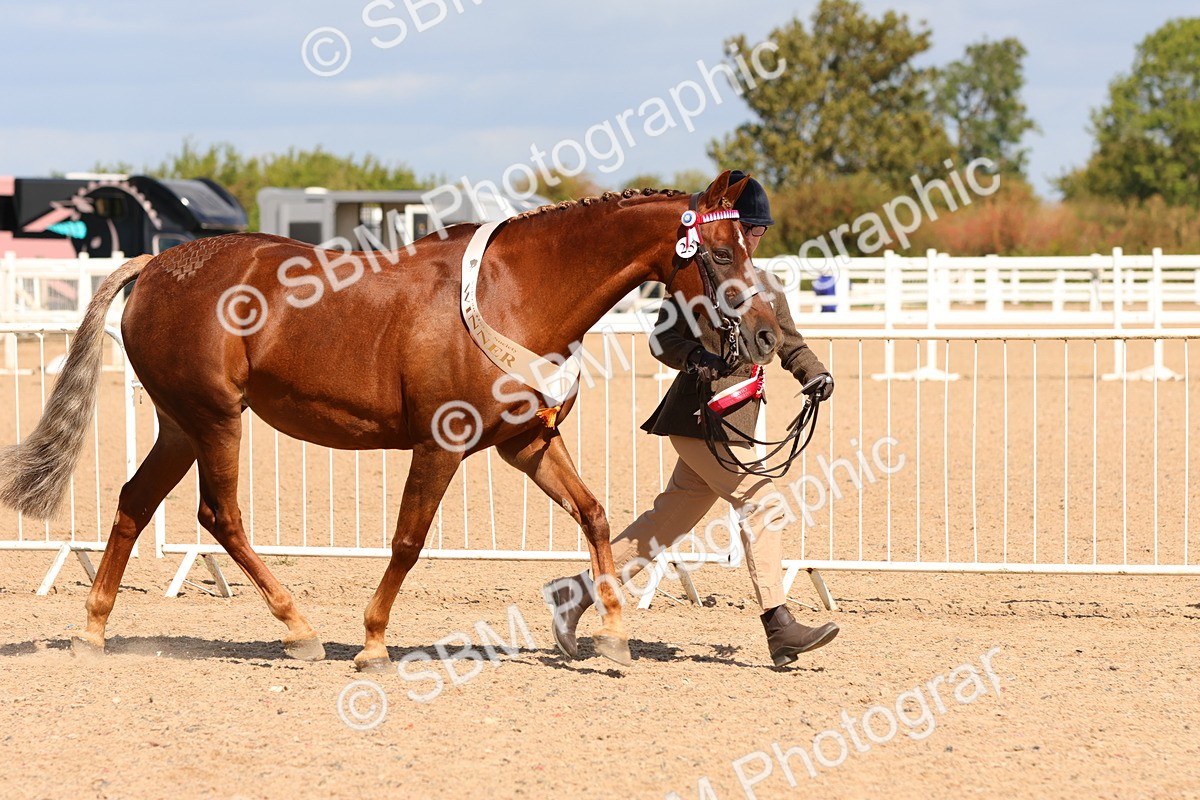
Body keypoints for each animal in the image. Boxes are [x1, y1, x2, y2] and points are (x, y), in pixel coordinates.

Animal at [0, 171, 783, 671]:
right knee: (220, 516)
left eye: (749, 248)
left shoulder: (527, 443)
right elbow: (408, 540)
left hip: (180, 426)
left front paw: (613, 636)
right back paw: (300, 630)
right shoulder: (442, 444)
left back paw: (94, 631)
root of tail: (156, 264)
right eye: (720, 253)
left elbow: (593, 515)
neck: (513, 294)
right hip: (216, 420)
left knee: (135, 503)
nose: (769, 335)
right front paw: (373, 643)